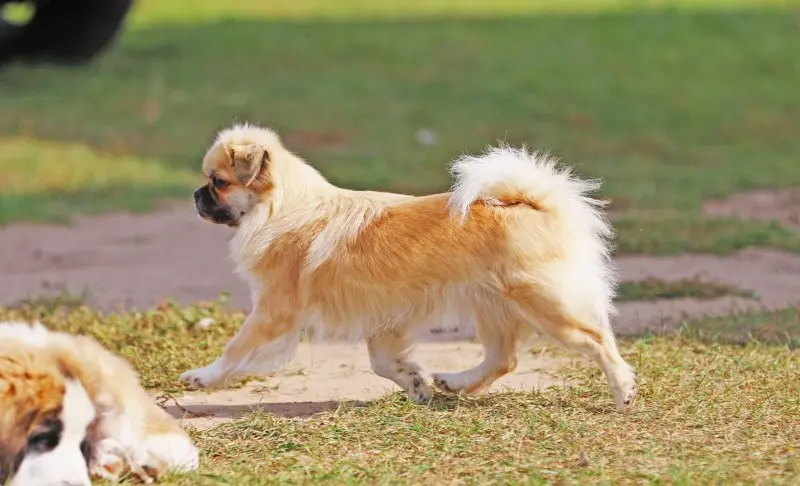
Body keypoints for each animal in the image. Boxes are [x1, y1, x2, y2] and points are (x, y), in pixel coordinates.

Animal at [181, 123, 636, 412]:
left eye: (218, 182)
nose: (196, 195)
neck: (280, 209)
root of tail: (535, 203)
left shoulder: (273, 312)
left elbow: (235, 349)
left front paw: (204, 377)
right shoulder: (384, 321)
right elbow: (384, 363)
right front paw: (416, 383)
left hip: (546, 306)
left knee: (598, 339)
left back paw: (623, 392)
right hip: (492, 307)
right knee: (502, 359)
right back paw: (455, 382)